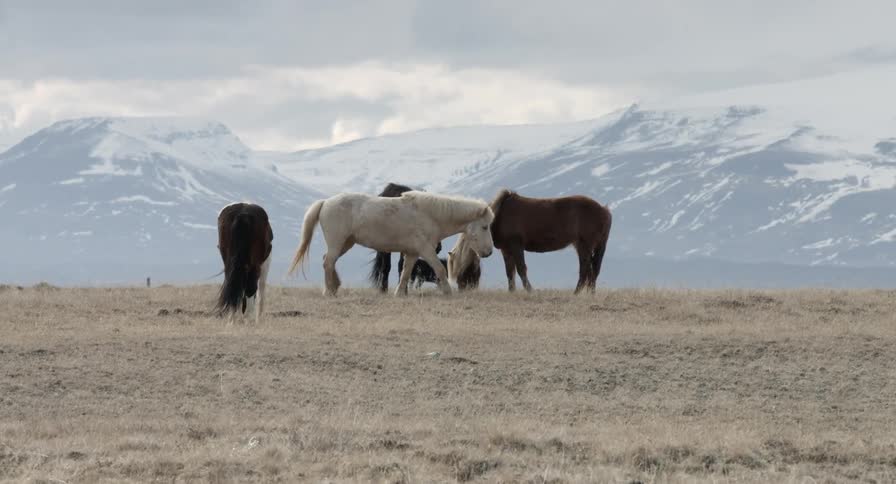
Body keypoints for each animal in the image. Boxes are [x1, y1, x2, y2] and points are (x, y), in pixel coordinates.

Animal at [287, 191, 494, 296]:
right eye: (485, 227)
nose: (489, 252)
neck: (431, 215)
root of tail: (325, 202)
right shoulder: (426, 250)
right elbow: (440, 269)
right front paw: (447, 292)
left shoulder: (413, 252)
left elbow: (406, 273)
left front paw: (399, 293)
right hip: (338, 242)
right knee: (328, 262)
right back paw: (329, 291)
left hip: (346, 243)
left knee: (328, 261)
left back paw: (334, 286)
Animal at [449, 190, 611, 294]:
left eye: (464, 270)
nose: (462, 291)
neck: (500, 216)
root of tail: (604, 210)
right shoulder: (506, 250)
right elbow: (510, 272)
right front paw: (512, 292)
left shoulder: (516, 246)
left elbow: (521, 269)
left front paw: (530, 290)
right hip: (584, 246)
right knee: (592, 270)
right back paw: (590, 293)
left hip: (584, 245)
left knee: (585, 269)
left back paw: (576, 293)